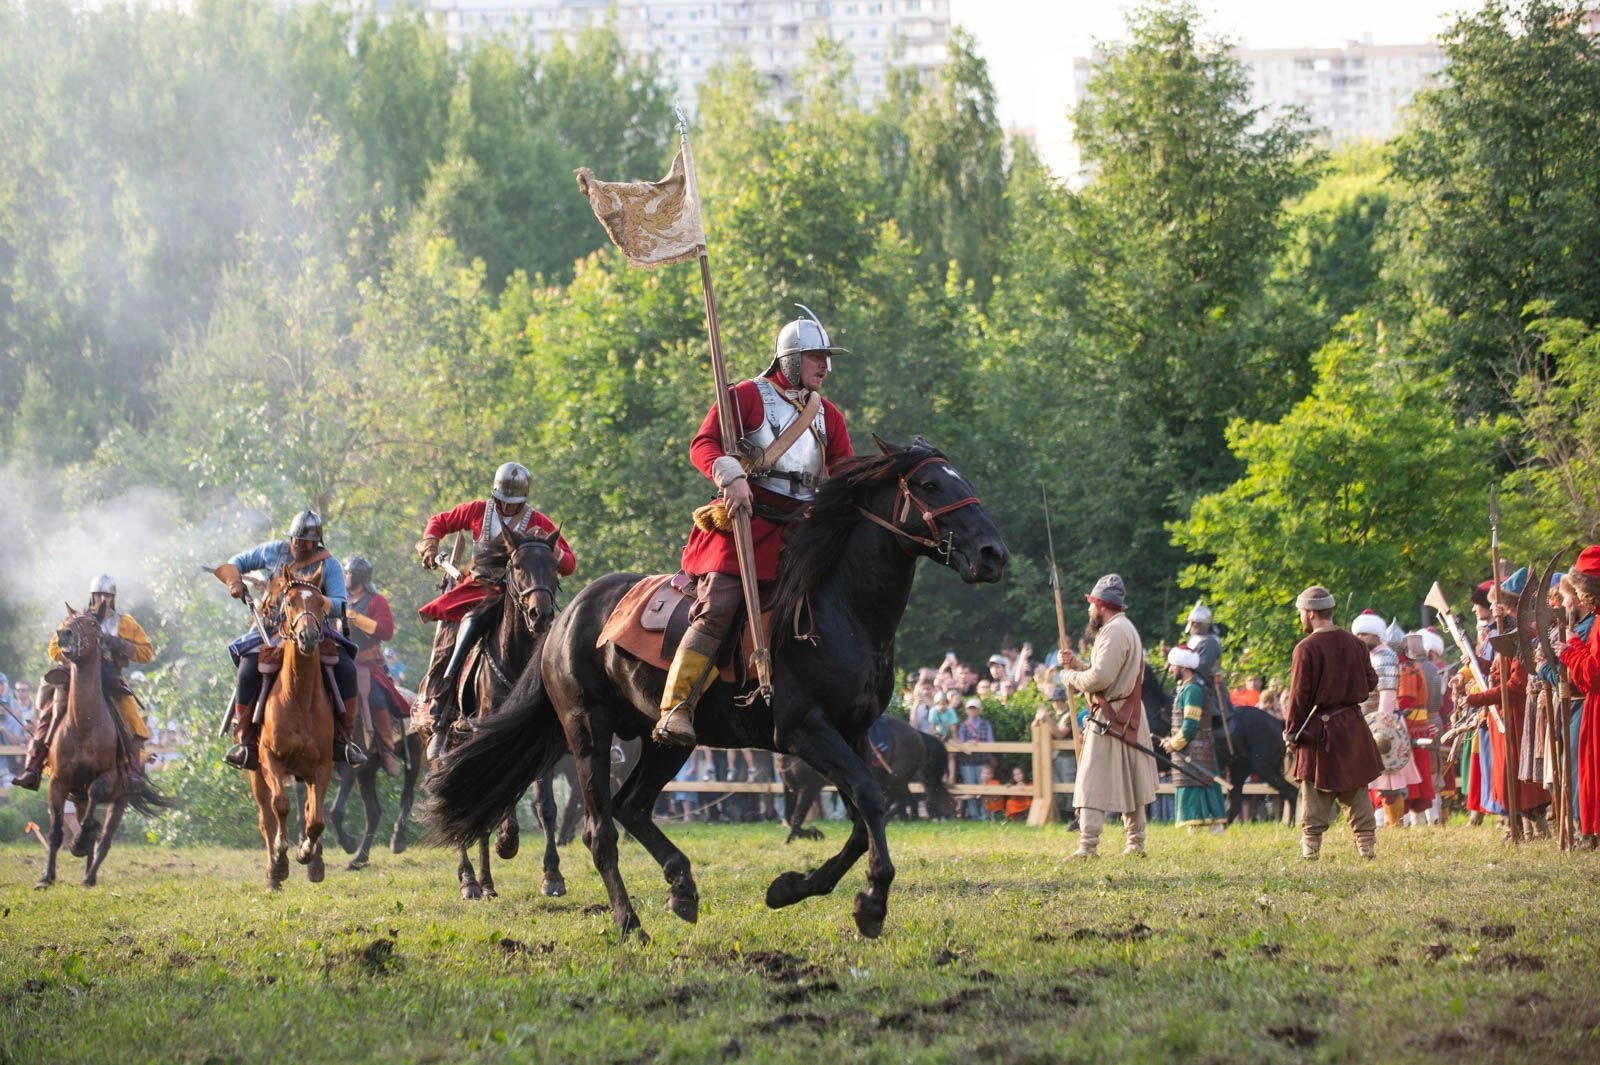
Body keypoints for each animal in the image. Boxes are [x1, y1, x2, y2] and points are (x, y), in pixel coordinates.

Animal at [36, 604, 176, 889]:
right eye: (66, 622)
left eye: (92, 624)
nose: (64, 635)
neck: (82, 726)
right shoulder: (58, 783)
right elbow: (55, 832)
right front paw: (46, 876)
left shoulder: (109, 780)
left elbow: (96, 794)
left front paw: (80, 843)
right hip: (77, 798)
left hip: (120, 800)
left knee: (104, 839)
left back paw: (90, 875)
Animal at [774, 713, 947, 837]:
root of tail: (917, 733)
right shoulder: (791, 788)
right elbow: (792, 817)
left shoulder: (810, 786)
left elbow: (797, 816)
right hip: (889, 780)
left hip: (896, 779)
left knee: (903, 800)